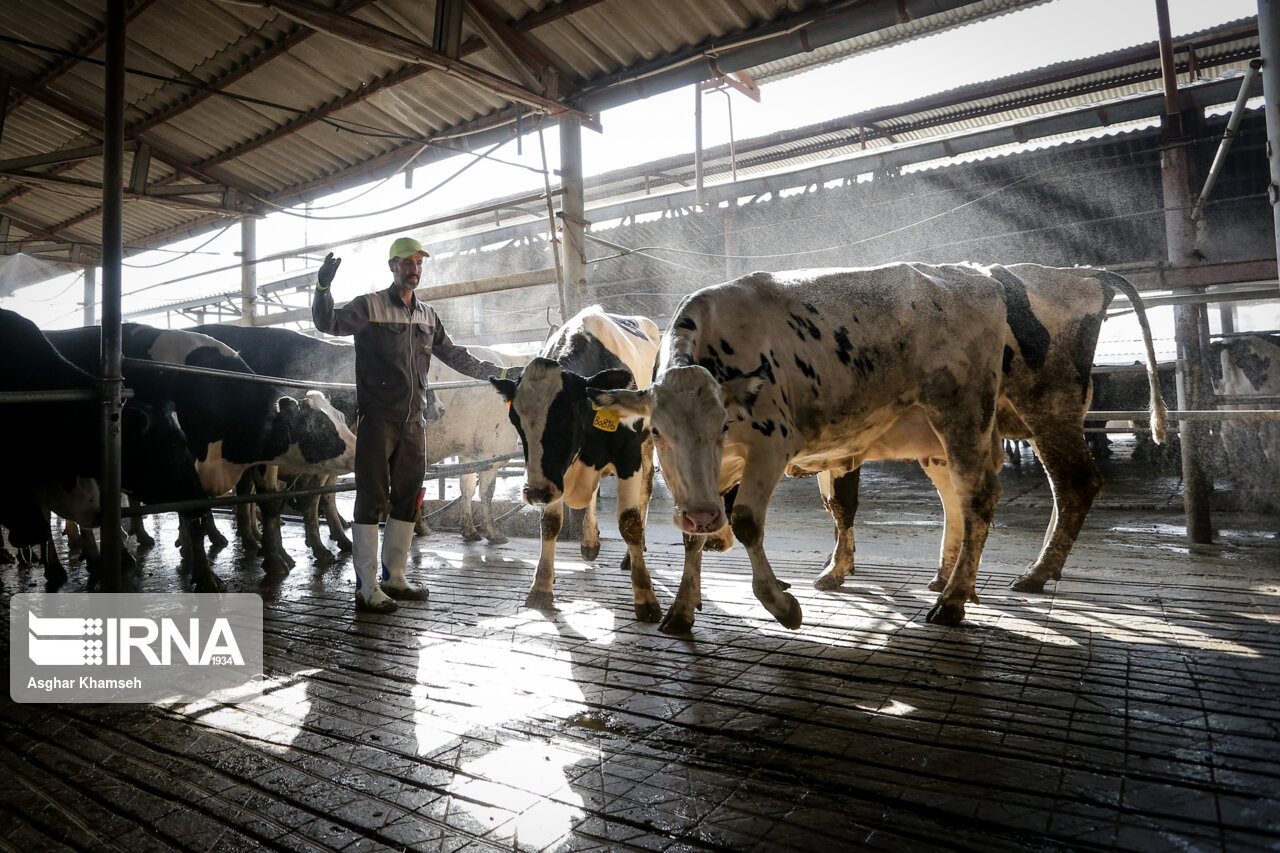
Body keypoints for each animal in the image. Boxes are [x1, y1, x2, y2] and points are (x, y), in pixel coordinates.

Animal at [48, 322, 358, 589]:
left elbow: (273, 503)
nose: (357, 452)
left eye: (341, 418)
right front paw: (206, 577)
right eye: (319, 427)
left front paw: (276, 559)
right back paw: (86, 561)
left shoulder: (261, 460)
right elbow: (197, 514)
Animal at [488, 306, 660, 617]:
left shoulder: (627, 454)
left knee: (646, 491)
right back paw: (590, 542)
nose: (535, 492)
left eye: (565, 418)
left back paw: (633, 554)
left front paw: (645, 597)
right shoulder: (554, 473)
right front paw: (541, 587)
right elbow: (550, 523)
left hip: (649, 443)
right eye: (516, 421)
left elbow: (629, 521)